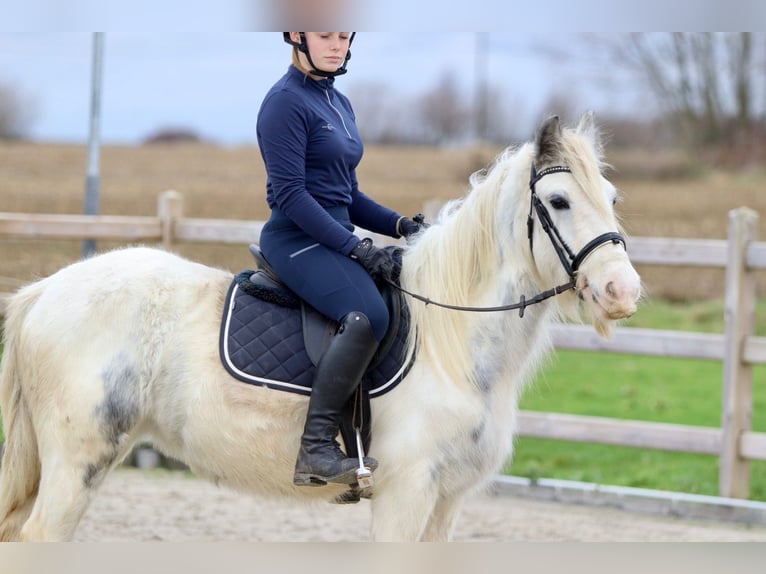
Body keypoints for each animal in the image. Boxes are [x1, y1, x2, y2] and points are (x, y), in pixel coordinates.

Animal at [0, 115, 640, 544]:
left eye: (612, 196)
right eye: (557, 200)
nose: (623, 291)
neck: (451, 343)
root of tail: (44, 291)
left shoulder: (447, 501)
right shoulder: (407, 492)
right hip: (78, 461)